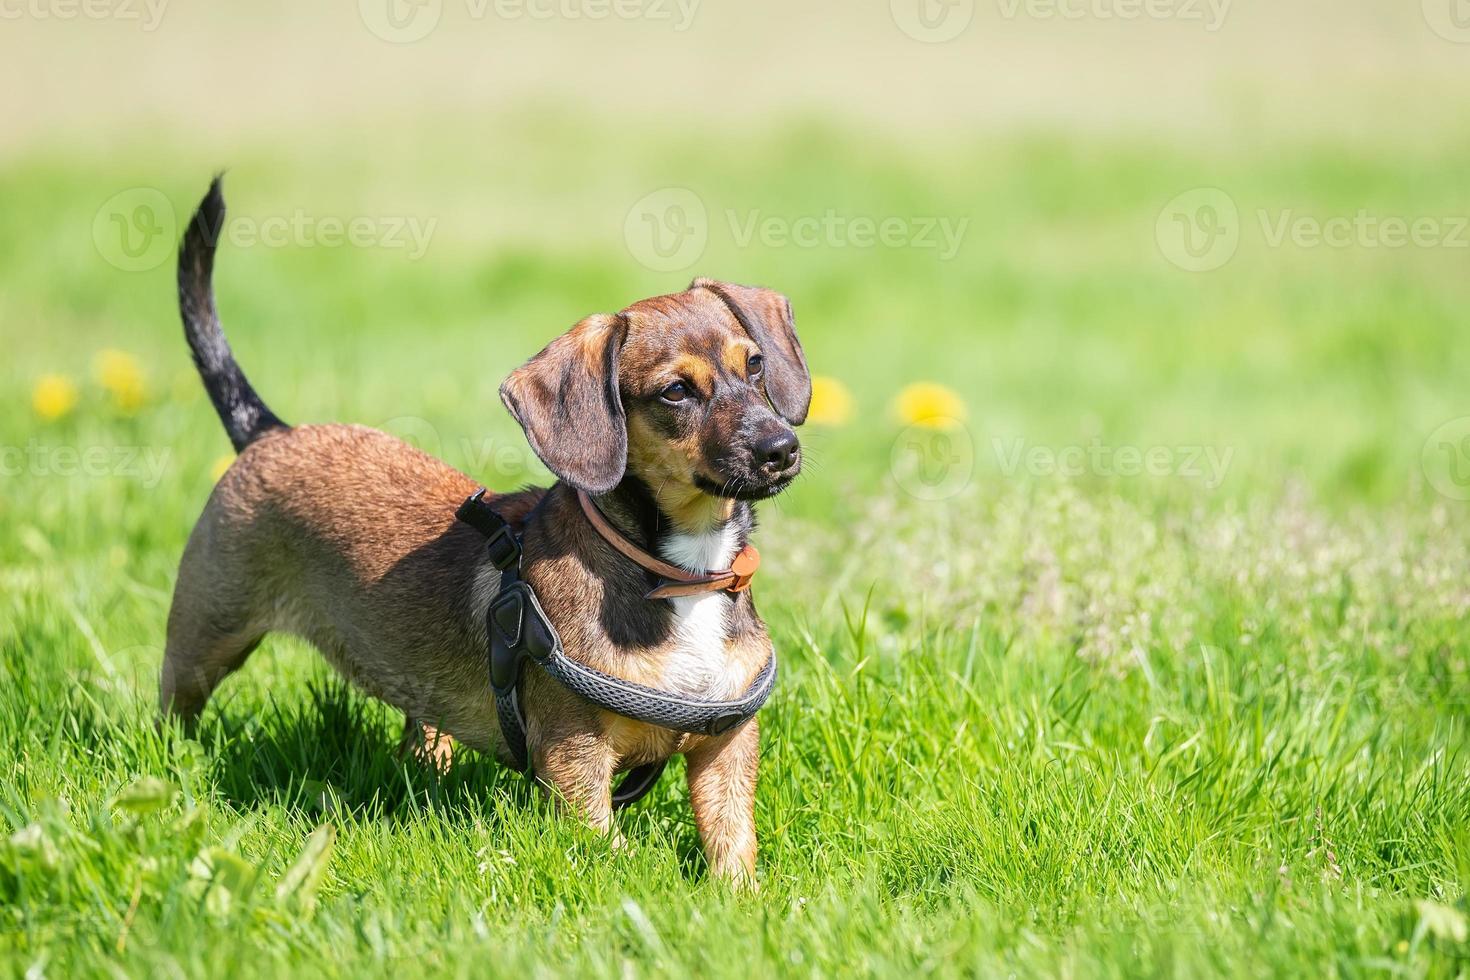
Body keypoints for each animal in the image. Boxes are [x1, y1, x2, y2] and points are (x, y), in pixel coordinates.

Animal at [159, 179, 811, 887]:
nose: (781, 449)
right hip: (206, 634)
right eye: (674, 393)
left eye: (755, 366)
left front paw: (741, 898)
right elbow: (604, 848)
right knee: (174, 706)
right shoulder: (575, 757)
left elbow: (732, 844)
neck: (681, 572)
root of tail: (268, 431)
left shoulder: (726, 747)